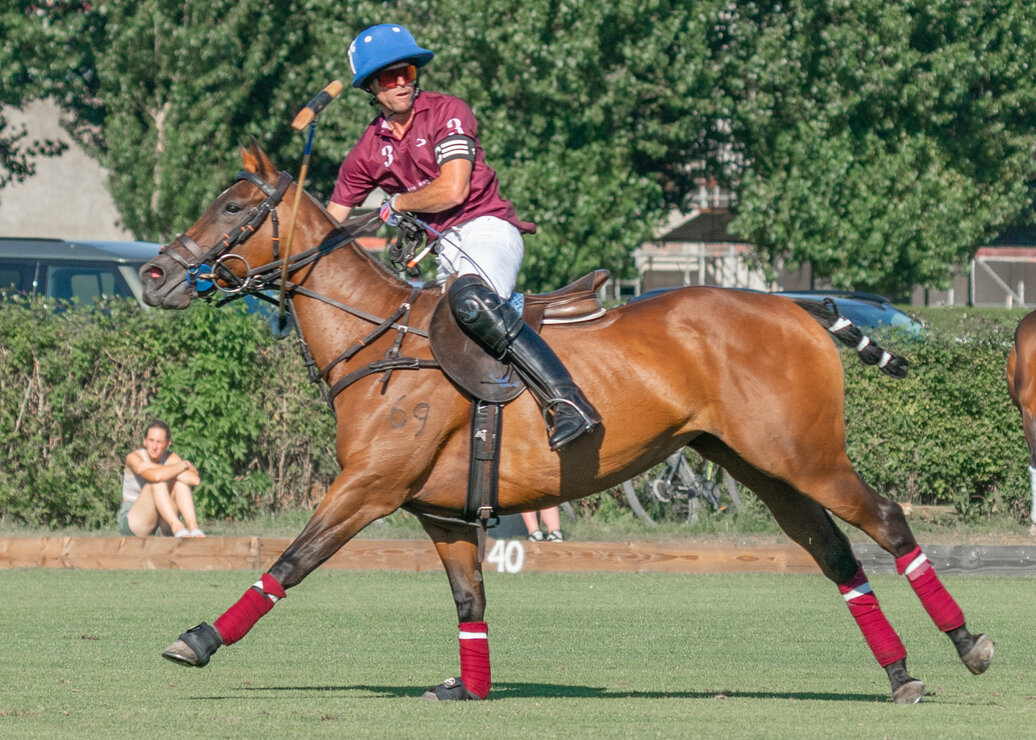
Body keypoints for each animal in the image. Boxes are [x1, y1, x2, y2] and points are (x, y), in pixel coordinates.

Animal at [141, 140, 990, 700]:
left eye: (235, 207)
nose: (153, 275)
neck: (379, 341)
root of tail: (797, 306)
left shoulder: (369, 486)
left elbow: (293, 559)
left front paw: (197, 640)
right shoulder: (440, 510)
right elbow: (470, 600)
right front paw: (468, 686)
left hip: (805, 454)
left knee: (887, 520)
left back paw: (967, 645)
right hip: (759, 464)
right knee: (833, 550)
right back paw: (900, 673)